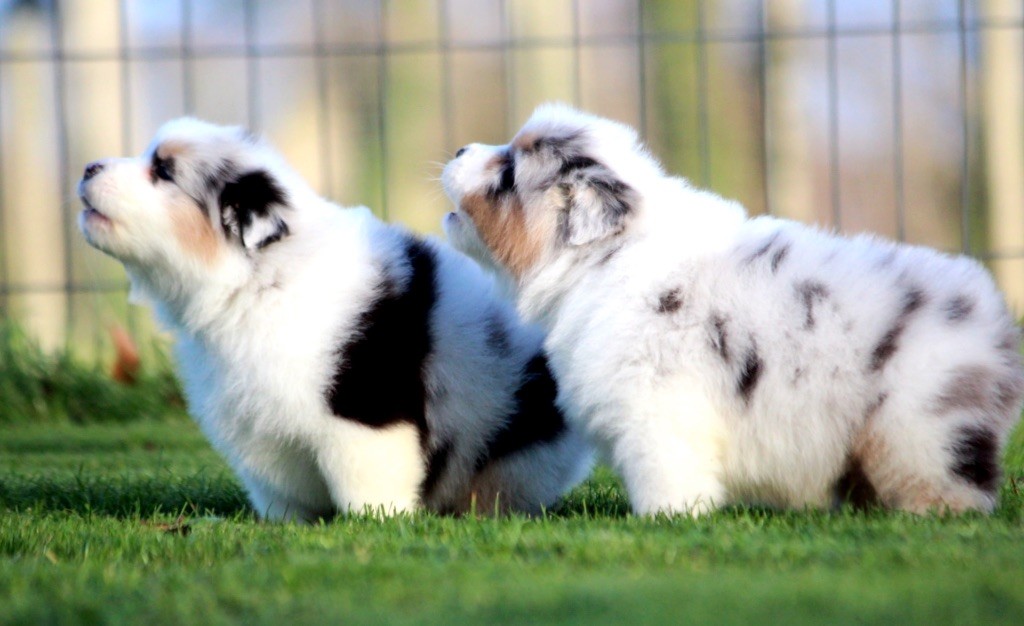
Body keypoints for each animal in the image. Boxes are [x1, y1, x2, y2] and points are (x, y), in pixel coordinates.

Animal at [77, 119, 593, 522]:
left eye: (163, 171)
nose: (87, 167)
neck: (266, 279)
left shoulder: (365, 412)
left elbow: (368, 478)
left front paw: (376, 521)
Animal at [440, 101, 1024, 514]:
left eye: (508, 173)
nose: (458, 149)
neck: (608, 256)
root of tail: (995, 321)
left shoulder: (656, 410)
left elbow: (664, 474)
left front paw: (666, 519)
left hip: (922, 428)